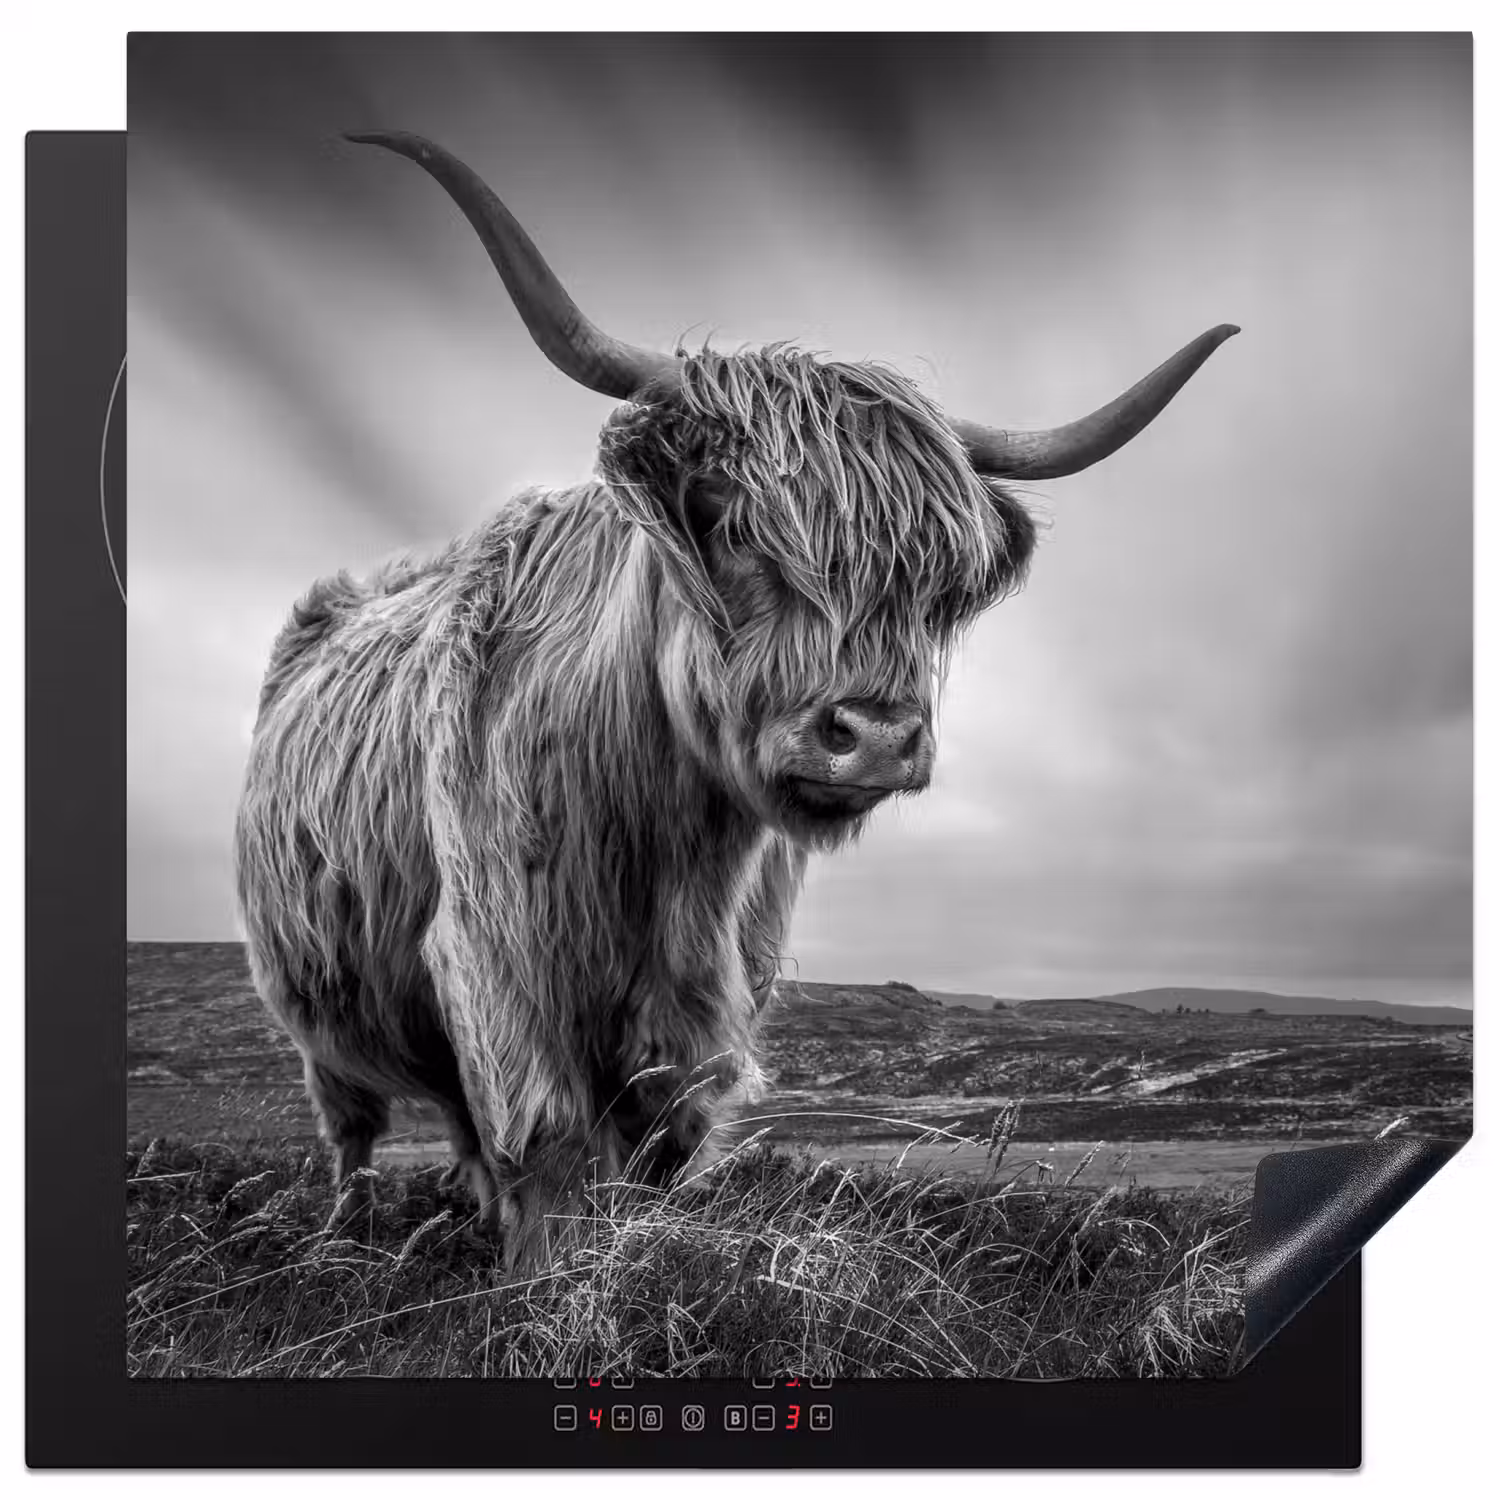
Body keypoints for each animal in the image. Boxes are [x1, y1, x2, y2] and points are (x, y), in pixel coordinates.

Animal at [233, 131, 1236, 1263]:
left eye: (938, 578)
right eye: (723, 513)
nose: (875, 736)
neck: (671, 846)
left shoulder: (713, 1001)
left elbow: (658, 1145)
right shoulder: (499, 959)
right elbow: (548, 1144)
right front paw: (541, 1280)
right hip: (313, 1008)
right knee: (353, 1124)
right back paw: (346, 1229)